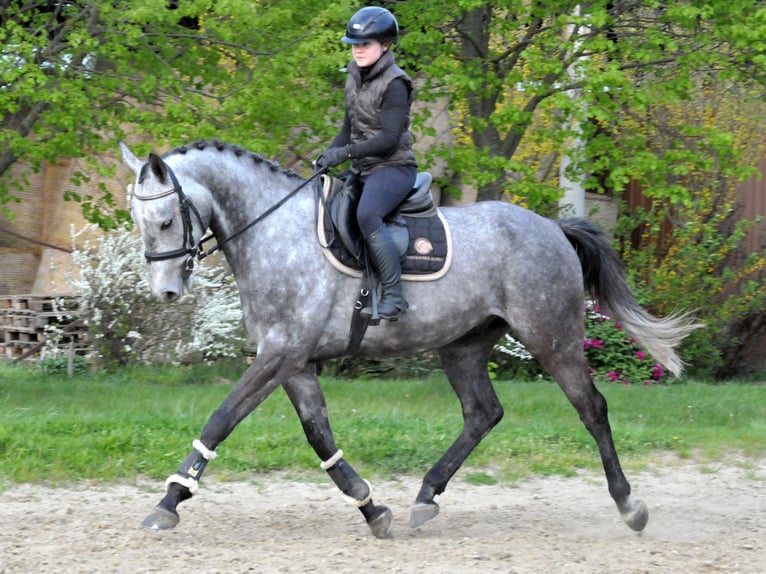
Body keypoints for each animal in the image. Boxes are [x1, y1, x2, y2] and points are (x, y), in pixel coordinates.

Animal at [119, 138, 699, 539]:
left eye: (166, 220)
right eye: (138, 219)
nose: (165, 291)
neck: (274, 232)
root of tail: (553, 227)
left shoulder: (280, 354)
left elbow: (220, 420)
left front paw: (169, 501)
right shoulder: (295, 362)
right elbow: (319, 436)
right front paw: (371, 507)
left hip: (551, 337)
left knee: (591, 408)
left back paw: (629, 505)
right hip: (462, 345)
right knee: (483, 413)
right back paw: (426, 495)